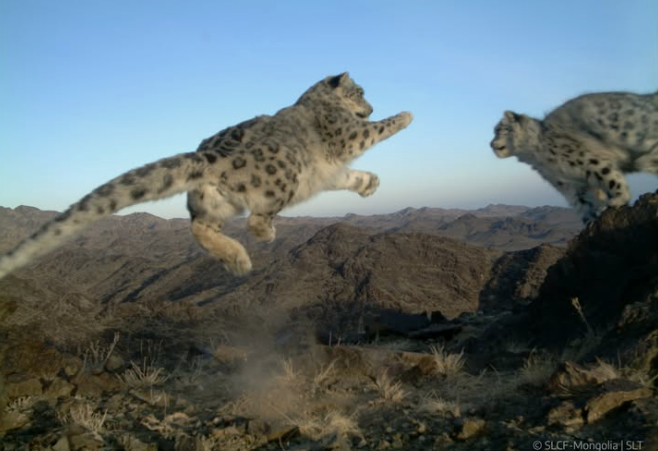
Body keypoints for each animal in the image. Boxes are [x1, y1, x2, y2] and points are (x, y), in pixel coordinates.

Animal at [0, 73, 413, 279]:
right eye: (360, 91)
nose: (370, 106)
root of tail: (211, 156)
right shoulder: (346, 135)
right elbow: (374, 131)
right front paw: (404, 115)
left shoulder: (331, 172)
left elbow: (346, 177)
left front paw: (369, 183)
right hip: (283, 177)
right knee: (255, 219)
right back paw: (261, 238)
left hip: (213, 203)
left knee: (199, 228)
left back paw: (237, 259)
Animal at [491, 90, 658, 222]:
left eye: (498, 130)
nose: (490, 144)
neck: (535, 157)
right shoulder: (569, 184)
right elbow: (582, 203)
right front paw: (589, 220)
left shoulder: (590, 161)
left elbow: (610, 178)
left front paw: (617, 199)